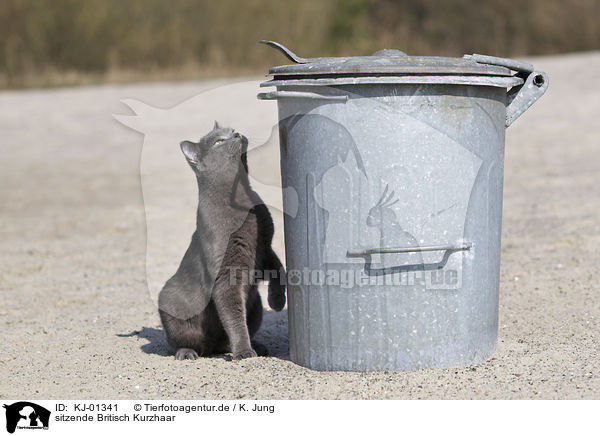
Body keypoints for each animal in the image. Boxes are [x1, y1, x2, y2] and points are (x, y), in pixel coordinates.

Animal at [159, 122, 286, 362]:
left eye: (233, 130)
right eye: (218, 142)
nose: (236, 134)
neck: (240, 195)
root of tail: (211, 349)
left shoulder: (264, 247)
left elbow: (279, 269)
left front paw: (277, 301)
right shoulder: (227, 270)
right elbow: (233, 316)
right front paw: (244, 352)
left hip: (255, 307)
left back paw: (256, 345)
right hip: (171, 305)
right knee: (178, 342)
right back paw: (187, 352)